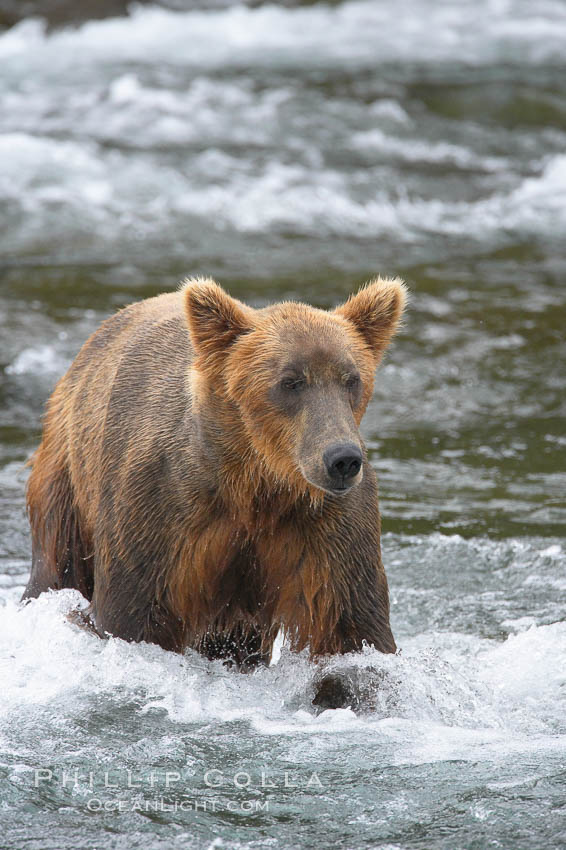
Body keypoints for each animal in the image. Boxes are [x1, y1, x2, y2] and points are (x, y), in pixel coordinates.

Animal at [23, 277, 406, 669]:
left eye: (352, 379)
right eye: (290, 381)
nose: (342, 459)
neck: (256, 483)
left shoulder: (324, 530)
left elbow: (350, 629)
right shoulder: (160, 513)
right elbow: (130, 616)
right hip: (68, 472)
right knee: (57, 564)